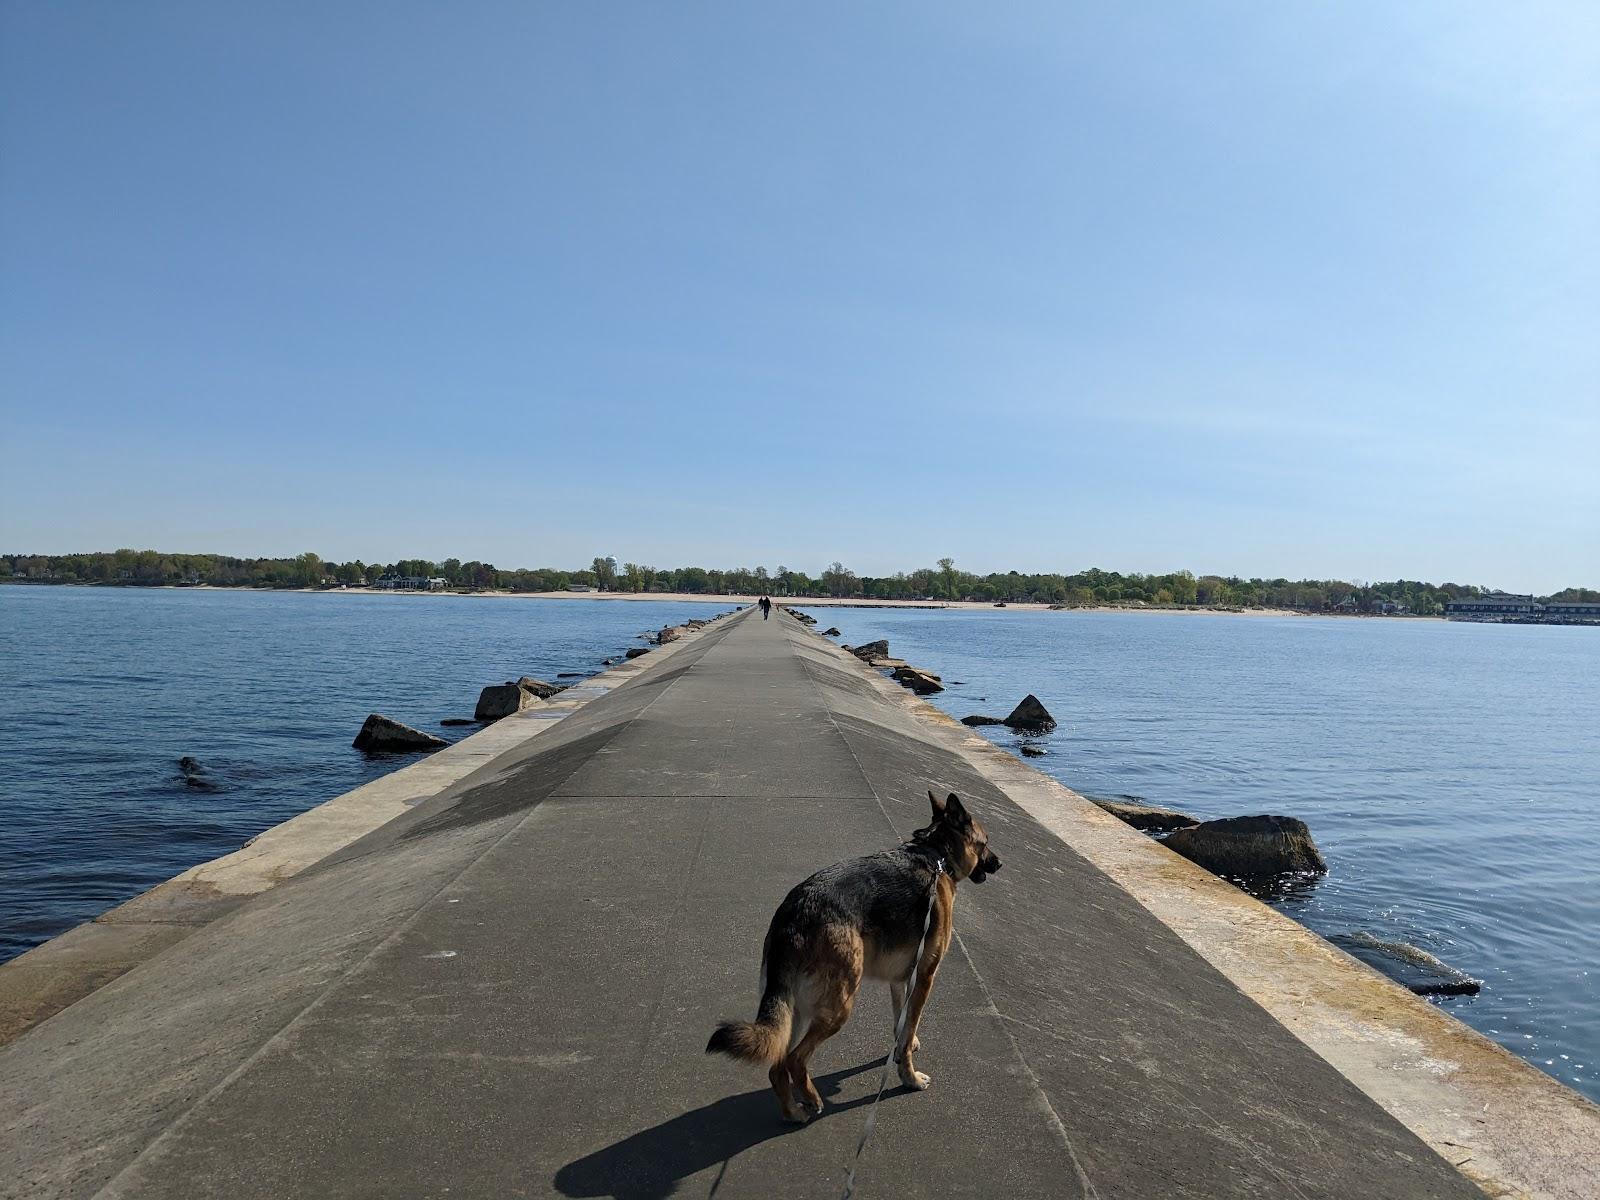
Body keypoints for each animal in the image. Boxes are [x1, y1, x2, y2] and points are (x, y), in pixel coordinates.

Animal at [704, 793, 998, 1126]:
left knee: (777, 1066)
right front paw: (909, 1078)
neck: (937, 854)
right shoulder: (925, 977)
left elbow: (901, 1024)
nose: (999, 862)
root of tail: (794, 914)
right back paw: (812, 1098)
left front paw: (903, 1049)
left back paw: (793, 1112)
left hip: (795, 1010)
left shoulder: (900, 981)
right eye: (985, 843)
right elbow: (909, 1028)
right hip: (838, 1006)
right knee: (794, 1059)